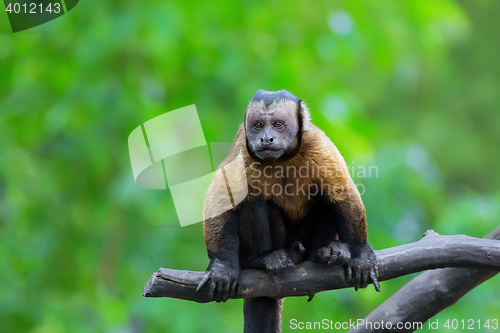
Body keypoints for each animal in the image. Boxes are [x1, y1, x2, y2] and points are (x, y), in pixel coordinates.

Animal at [195, 88, 378, 332]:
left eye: (278, 124)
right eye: (258, 125)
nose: (266, 138)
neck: (282, 158)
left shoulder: (318, 144)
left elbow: (343, 194)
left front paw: (361, 256)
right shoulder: (242, 149)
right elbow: (222, 199)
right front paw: (221, 268)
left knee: (326, 198)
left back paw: (323, 254)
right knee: (253, 199)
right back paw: (263, 259)